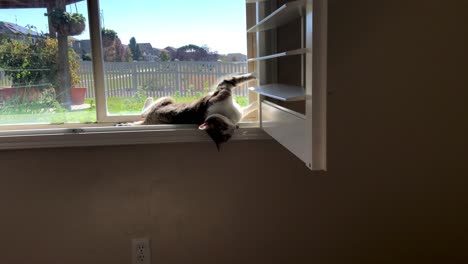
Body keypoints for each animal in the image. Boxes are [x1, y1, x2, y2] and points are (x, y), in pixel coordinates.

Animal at [117, 73, 256, 150]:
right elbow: (239, 78)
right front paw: (255, 76)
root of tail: (149, 121)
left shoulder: (239, 109)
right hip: (166, 99)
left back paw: (123, 124)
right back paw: (148, 99)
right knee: (143, 112)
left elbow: (251, 107)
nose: (234, 128)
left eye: (228, 136)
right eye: (223, 128)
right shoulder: (223, 87)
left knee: (139, 119)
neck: (229, 116)